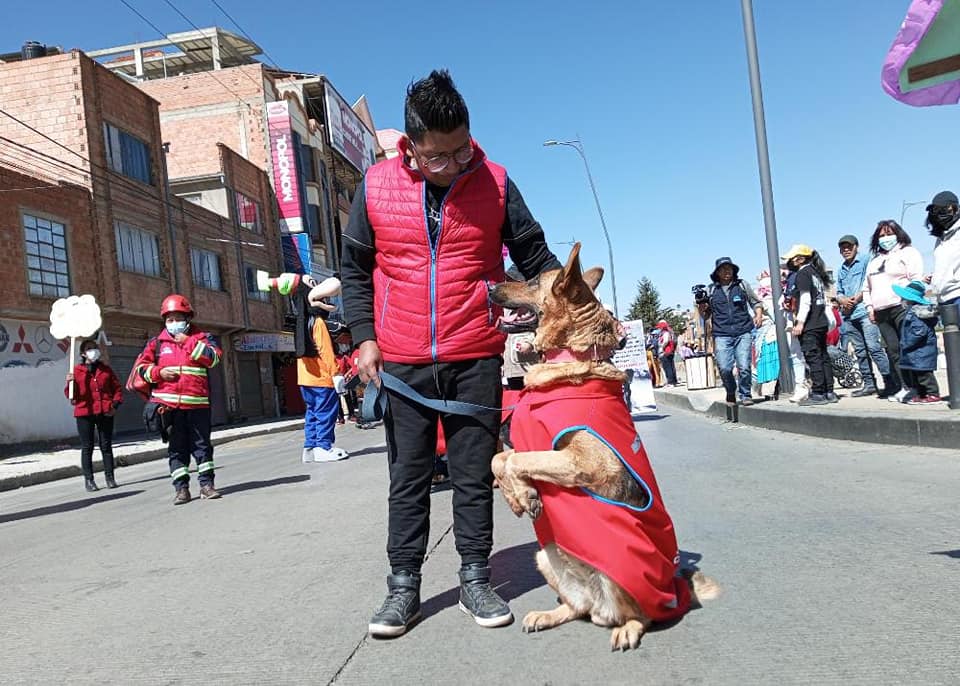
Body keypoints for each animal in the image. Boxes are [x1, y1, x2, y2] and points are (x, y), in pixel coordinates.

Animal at [492, 246, 716, 652]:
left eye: (531, 280)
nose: (488, 287)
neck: (572, 358)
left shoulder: (588, 461)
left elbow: (519, 458)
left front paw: (525, 493)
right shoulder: (522, 445)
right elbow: (499, 457)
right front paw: (518, 497)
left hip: (622, 571)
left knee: (643, 615)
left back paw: (627, 629)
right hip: (546, 556)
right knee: (576, 608)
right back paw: (549, 615)